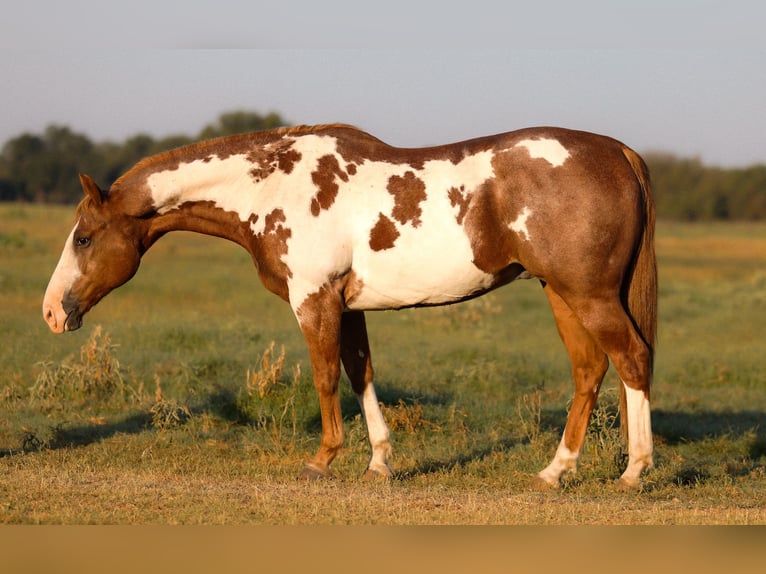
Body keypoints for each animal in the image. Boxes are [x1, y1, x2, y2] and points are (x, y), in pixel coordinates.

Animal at [42, 122, 656, 490]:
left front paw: (322, 460)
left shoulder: (313, 300)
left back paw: (634, 471)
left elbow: (324, 377)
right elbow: (361, 374)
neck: (271, 187)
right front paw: (380, 461)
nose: (52, 312)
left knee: (632, 360)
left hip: (588, 295)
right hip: (561, 293)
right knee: (590, 371)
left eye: (85, 237)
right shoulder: (349, 305)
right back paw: (555, 471)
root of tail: (616, 152)